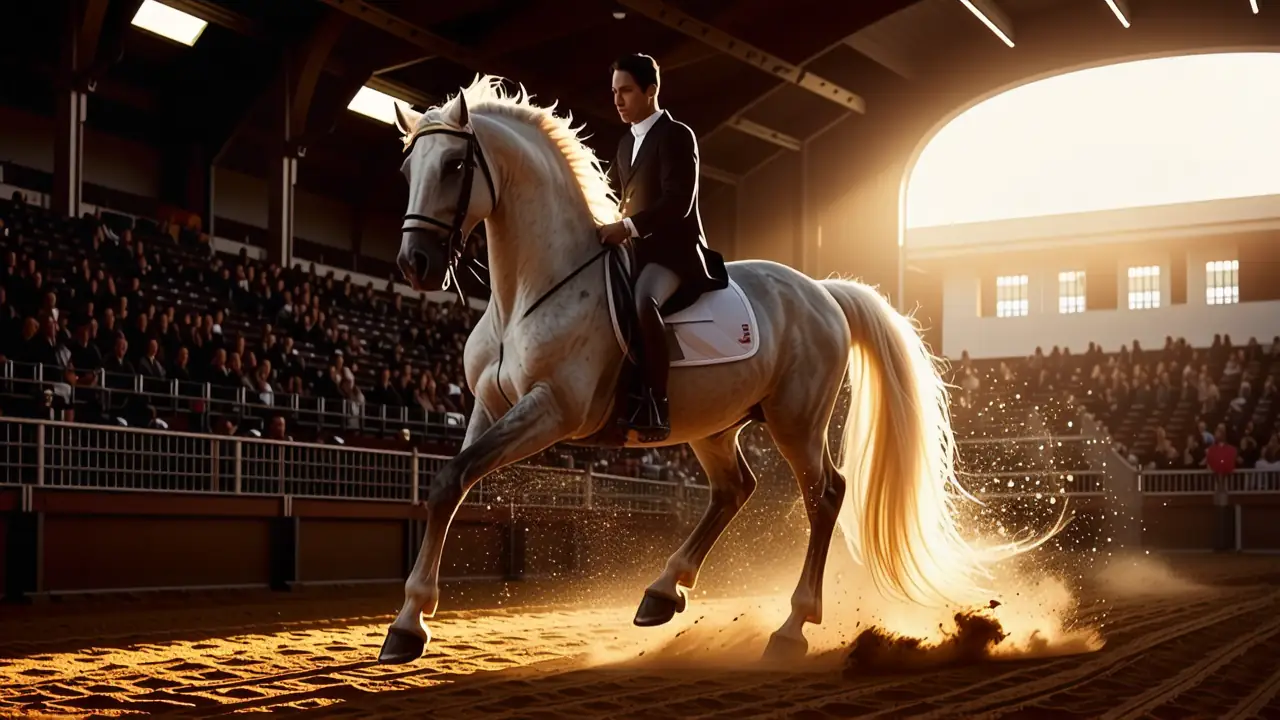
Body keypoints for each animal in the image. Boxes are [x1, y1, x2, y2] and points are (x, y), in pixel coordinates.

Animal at [376, 75, 1045, 665]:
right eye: (407, 171)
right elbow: (449, 484)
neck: (530, 293)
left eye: (454, 167)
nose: (414, 264)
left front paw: (409, 624)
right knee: (734, 489)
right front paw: (407, 625)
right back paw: (662, 592)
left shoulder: (551, 410)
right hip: (713, 422)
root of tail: (823, 292)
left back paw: (791, 627)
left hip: (795, 420)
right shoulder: (490, 407)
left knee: (825, 493)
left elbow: (456, 476)